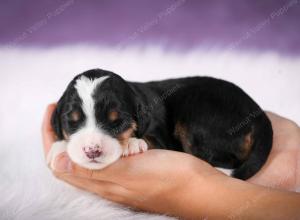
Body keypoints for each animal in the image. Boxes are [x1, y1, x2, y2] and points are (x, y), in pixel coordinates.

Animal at [47, 68, 274, 179]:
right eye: (72, 121)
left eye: (118, 122)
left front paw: (132, 144)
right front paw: (58, 147)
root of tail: (259, 114)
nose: (92, 151)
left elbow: (149, 140)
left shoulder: (161, 138)